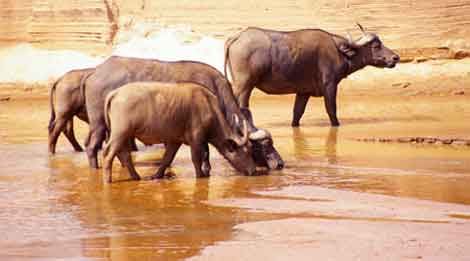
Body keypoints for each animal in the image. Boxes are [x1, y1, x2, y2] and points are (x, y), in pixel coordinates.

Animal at [103, 80, 258, 181]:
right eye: (247, 152)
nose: (253, 171)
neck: (208, 106)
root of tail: (116, 92)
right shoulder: (196, 139)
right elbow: (196, 158)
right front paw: (200, 175)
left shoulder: (175, 141)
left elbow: (167, 159)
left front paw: (156, 175)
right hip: (120, 133)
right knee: (108, 153)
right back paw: (107, 179)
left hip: (125, 135)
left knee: (125, 155)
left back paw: (136, 177)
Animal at [224, 22, 400, 126]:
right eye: (376, 46)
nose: (395, 57)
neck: (339, 51)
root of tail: (237, 37)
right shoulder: (330, 86)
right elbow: (332, 111)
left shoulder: (303, 92)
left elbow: (297, 114)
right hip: (244, 86)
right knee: (241, 107)